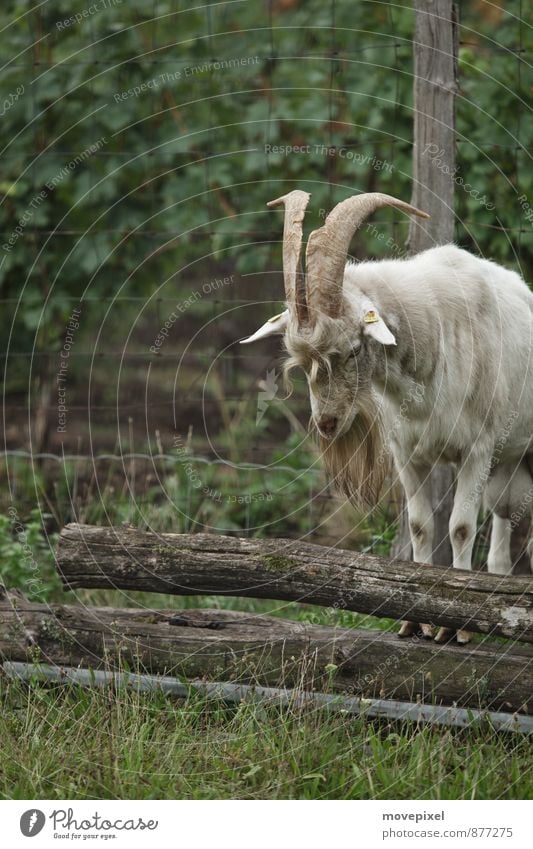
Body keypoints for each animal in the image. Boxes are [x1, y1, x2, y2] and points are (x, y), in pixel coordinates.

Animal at [241, 190, 532, 644]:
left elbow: (460, 527)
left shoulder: (477, 449)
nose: (327, 424)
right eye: (301, 363)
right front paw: (416, 621)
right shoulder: (408, 452)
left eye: (354, 350)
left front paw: (457, 628)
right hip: (508, 463)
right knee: (504, 523)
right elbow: (420, 525)